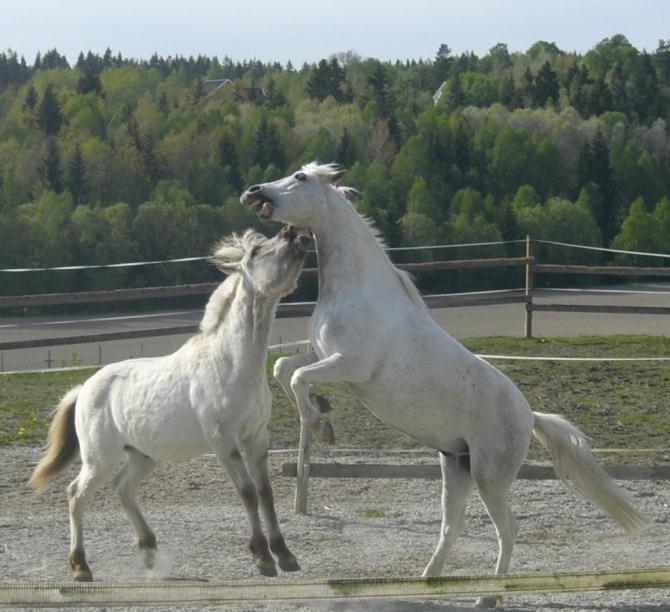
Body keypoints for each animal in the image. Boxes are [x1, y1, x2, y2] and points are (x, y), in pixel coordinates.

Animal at [242, 161, 644, 608]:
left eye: (300, 178)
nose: (254, 191)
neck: (356, 288)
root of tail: (530, 416)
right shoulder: (321, 353)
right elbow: (283, 368)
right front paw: (323, 413)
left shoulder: (351, 365)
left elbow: (296, 377)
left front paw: (316, 419)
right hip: (455, 466)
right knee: (452, 526)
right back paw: (427, 582)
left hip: (489, 475)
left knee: (508, 529)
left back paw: (488, 597)